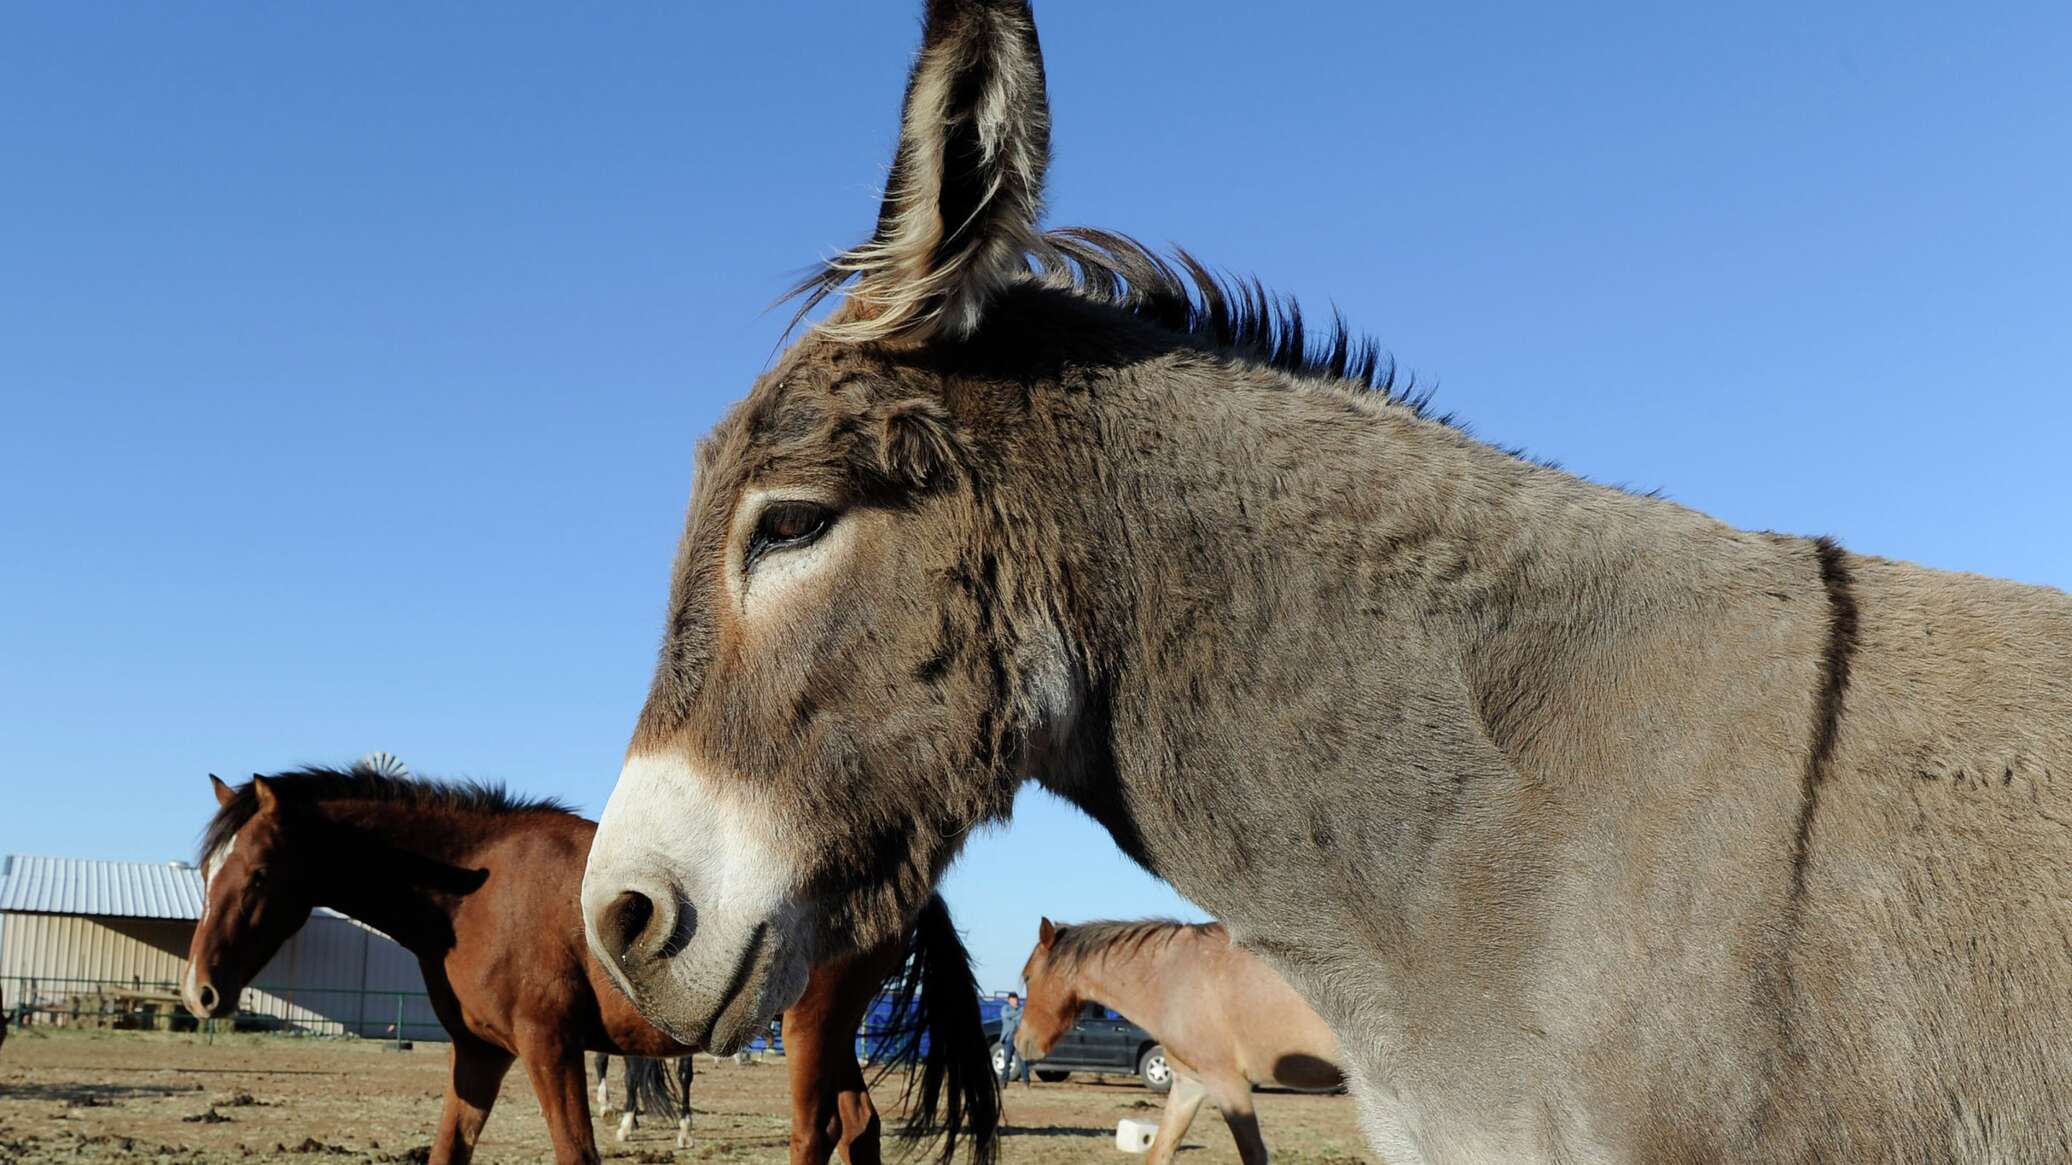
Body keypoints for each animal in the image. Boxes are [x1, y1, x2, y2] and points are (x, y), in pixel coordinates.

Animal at [190, 762, 998, 1160]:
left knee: (818, 1131)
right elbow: (450, 1149)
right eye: (207, 873)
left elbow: (577, 1151)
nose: (200, 992)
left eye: (256, 876)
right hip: (832, 1035)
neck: (476, 886)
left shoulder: (549, 1046)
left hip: (810, 1027)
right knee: (858, 1125)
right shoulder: (479, 1053)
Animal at [1015, 916, 1342, 1160]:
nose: (1020, 1041)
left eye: (1028, 976)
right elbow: (1159, 1151)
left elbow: (1254, 1153)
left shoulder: (1228, 1084)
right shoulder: (1189, 1085)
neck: (1172, 977)